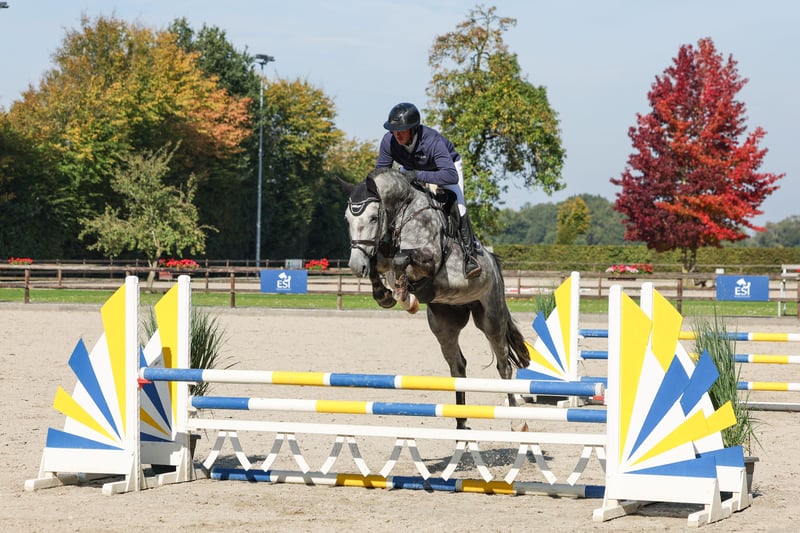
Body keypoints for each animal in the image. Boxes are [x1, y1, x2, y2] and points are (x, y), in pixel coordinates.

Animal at [341, 167, 530, 429]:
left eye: (372, 218)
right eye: (347, 219)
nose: (354, 266)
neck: (403, 212)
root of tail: (493, 261)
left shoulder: (429, 259)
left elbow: (402, 260)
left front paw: (405, 296)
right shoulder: (382, 255)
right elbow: (379, 263)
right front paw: (386, 295)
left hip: (491, 318)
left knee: (504, 365)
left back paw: (517, 422)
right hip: (444, 323)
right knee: (458, 367)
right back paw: (461, 425)